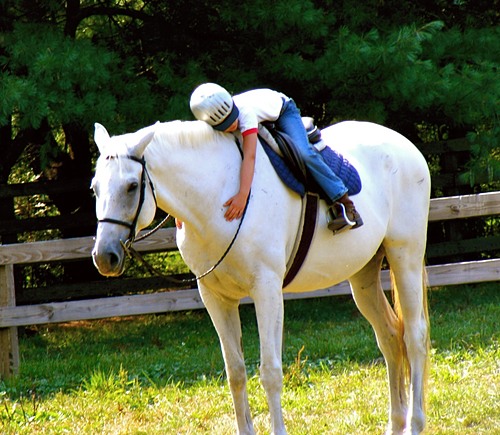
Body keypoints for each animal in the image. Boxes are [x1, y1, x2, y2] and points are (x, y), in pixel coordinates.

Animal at [92, 119, 432, 435]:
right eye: (95, 187)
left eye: (131, 186)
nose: (104, 256)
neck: (217, 197)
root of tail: (405, 146)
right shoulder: (215, 297)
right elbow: (235, 372)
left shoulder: (266, 291)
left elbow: (270, 372)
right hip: (363, 275)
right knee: (390, 337)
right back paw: (396, 423)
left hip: (405, 257)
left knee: (414, 336)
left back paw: (415, 423)